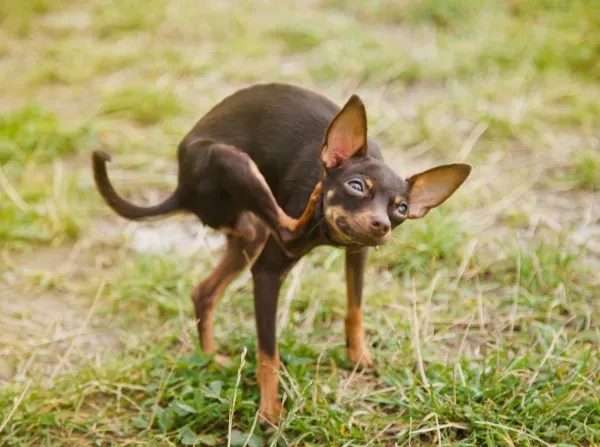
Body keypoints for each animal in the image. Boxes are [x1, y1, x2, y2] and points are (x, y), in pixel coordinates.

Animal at [91, 83, 472, 424]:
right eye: (356, 186)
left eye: (402, 208)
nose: (381, 224)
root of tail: (181, 187)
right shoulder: (267, 273)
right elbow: (269, 354)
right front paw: (270, 411)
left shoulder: (357, 253)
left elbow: (355, 307)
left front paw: (357, 354)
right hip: (230, 162)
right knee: (284, 232)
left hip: (248, 234)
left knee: (205, 291)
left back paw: (210, 359)